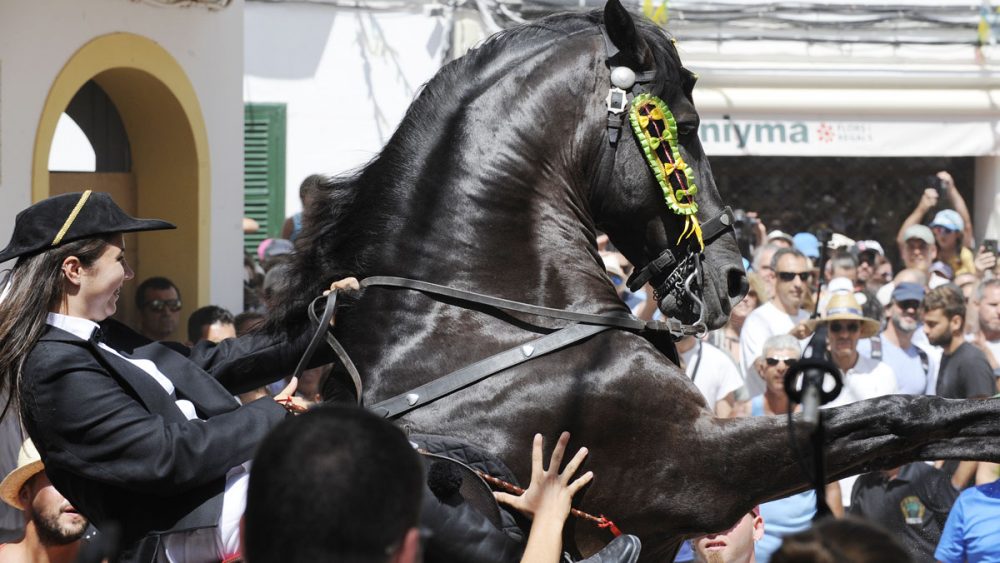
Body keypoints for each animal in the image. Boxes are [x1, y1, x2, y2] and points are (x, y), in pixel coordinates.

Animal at [272, 3, 1000, 560]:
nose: (734, 276)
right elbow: (899, 413)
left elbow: (897, 422)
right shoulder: (698, 468)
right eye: (688, 129)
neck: (490, 330)